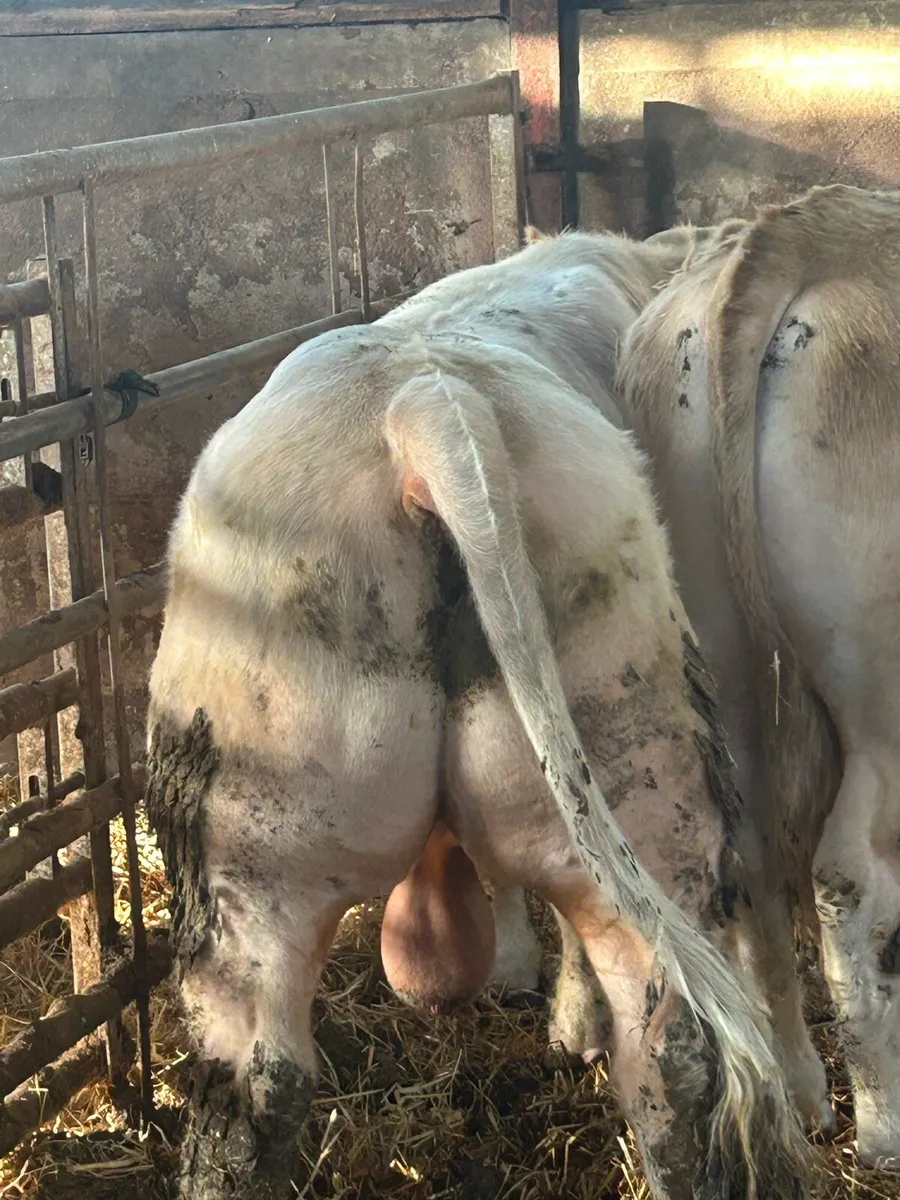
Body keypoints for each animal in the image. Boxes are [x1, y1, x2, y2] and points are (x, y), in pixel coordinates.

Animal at [144, 229, 806, 1200]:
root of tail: (427, 410)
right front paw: (568, 1025)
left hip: (254, 824)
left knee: (255, 1081)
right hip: (629, 744)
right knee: (664, 1038)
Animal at [598, 183, 900, 1171]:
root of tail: (798, 230)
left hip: (715, 626)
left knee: (751, 846)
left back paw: (802, 1089)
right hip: (880, 679)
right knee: (851, 876)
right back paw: (881, 1127)